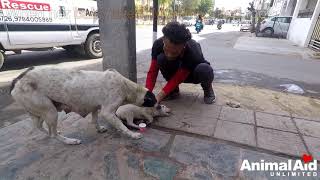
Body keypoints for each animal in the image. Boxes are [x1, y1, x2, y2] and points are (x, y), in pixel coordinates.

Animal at [10, 67, 158, 145]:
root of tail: (16, 80)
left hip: (41, 112)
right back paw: (69, 141)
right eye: (154, 100)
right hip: (50, 112)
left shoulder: (95, 107)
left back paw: (54, 132)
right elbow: (122, 126)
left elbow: (95, 120)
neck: (125, 86)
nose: (159, 106)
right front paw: (132, 135)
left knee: (40, 127)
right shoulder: (108, 112)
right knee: (52, 134)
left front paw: (99, 128)